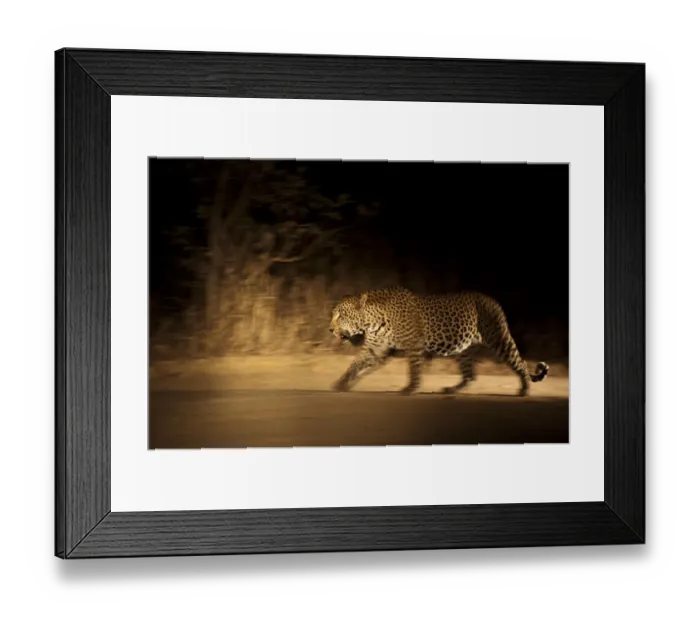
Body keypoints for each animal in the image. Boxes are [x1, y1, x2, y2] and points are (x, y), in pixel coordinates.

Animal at [328, 286, 549, 396]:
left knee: (519, 362)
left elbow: (414, 368)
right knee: (471, 375)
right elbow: (355, 365)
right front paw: (341, 384)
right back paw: (451, 390)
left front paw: (411, 388)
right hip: (464, 350)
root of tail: (493, 301)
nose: (330, 329)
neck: (373, 321)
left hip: (499, 339)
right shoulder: (376, 348)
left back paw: (525, 389)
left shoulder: (414, 346)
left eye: (341, 315)